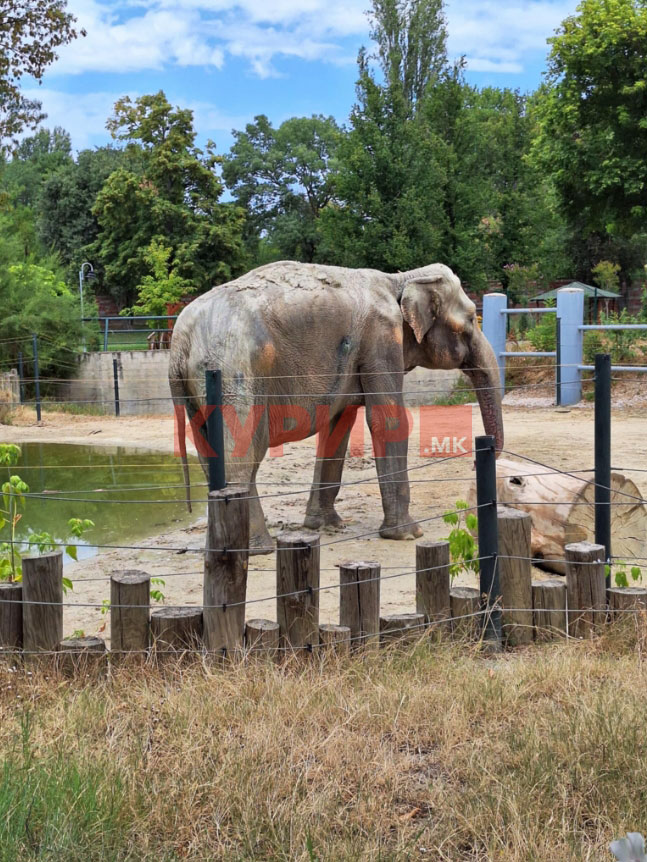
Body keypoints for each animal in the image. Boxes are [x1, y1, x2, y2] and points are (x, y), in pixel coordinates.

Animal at [170, 260, 504, 552]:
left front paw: (325, 526)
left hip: (199, 387)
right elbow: (388, 419)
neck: (400, 279)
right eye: (472, 319)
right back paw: (256, 549)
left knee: (211, 453)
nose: (476, 461)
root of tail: (178, 343)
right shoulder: (382, 339)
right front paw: (409, 534)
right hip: (232, 367)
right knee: (242, 450)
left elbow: (338, 425)